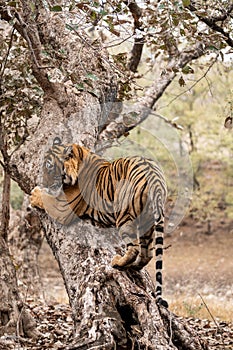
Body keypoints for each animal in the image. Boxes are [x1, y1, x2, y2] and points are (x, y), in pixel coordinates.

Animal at [30, 137, 168, 306]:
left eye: (49, 167)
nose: (43, 182)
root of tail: (155, 177)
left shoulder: (63, 208)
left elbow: (44, 198)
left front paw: (34, 193)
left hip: (124, 216)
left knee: (134, 248)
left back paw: (118, 262)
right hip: (147, 222)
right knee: (147, 253)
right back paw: (135, 266)